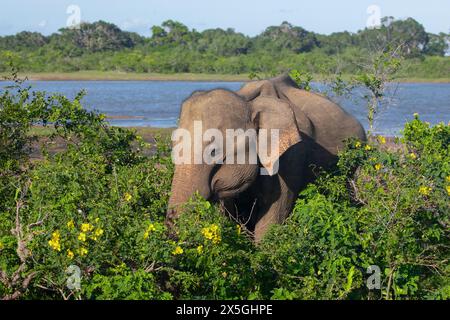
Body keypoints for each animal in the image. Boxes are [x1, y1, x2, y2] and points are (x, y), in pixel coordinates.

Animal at [165, 74, 366, 241]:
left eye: (214, 151)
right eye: (173, 146)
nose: (171, 219)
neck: (247, 101)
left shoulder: (292, 155)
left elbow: (275, 209)